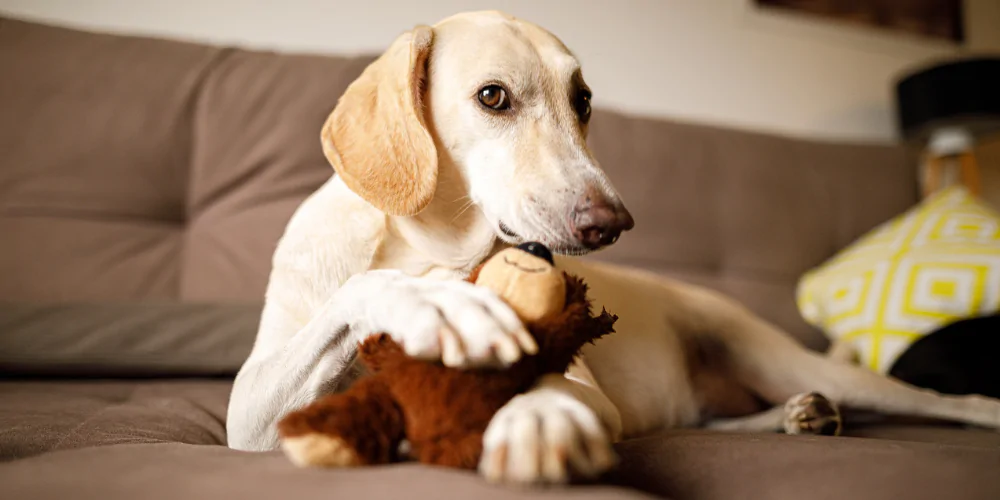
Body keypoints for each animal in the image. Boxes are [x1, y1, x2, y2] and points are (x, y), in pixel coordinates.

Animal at [229, 9, 1000, 486]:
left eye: (585, 100)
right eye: (493, 97)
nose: (613, 222)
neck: (429, 248)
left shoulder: (587, 390)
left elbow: (550, 388)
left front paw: (536, 415)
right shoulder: (252, 417)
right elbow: (358, 296)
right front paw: (430, 304)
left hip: (780, 358)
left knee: (932, 398)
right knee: (720, 418)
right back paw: (796, 418)